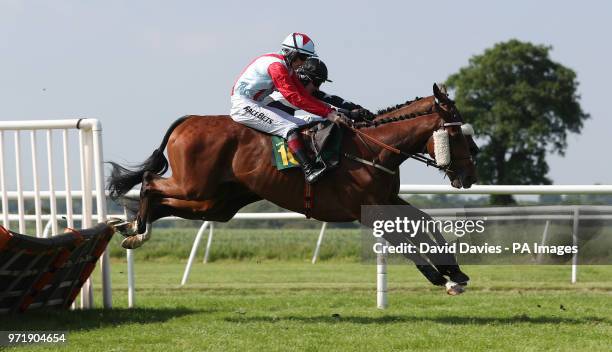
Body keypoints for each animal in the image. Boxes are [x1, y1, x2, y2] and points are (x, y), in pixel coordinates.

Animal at [107, 84, 476, 292]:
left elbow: (425, 222)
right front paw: (441, 278)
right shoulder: (364, 209)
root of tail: (189, 121)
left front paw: (454, 271)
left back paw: (132, 228)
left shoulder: (386, 198)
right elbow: (405, 239)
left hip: (215, 204)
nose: (469, 174)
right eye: (456, 133)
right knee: (150, 184)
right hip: (194, 186)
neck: (372, 147)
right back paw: (135, 226)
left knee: (163, 200)